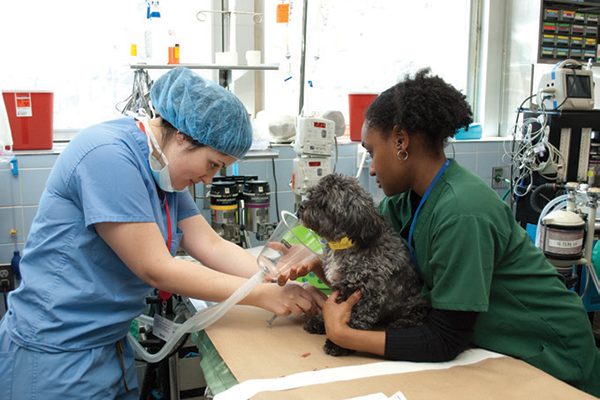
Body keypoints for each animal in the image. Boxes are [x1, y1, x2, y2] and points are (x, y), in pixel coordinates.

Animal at [298, 173, 428, 354]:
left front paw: (339, 343)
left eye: (324, 202)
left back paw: (401, 323)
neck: (345, 244)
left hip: (416, 304)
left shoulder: (368, 293)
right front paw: (320, 322)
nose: (301, 206)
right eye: (312, 194)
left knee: (417, 317)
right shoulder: (341, 288)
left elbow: (355, 320)